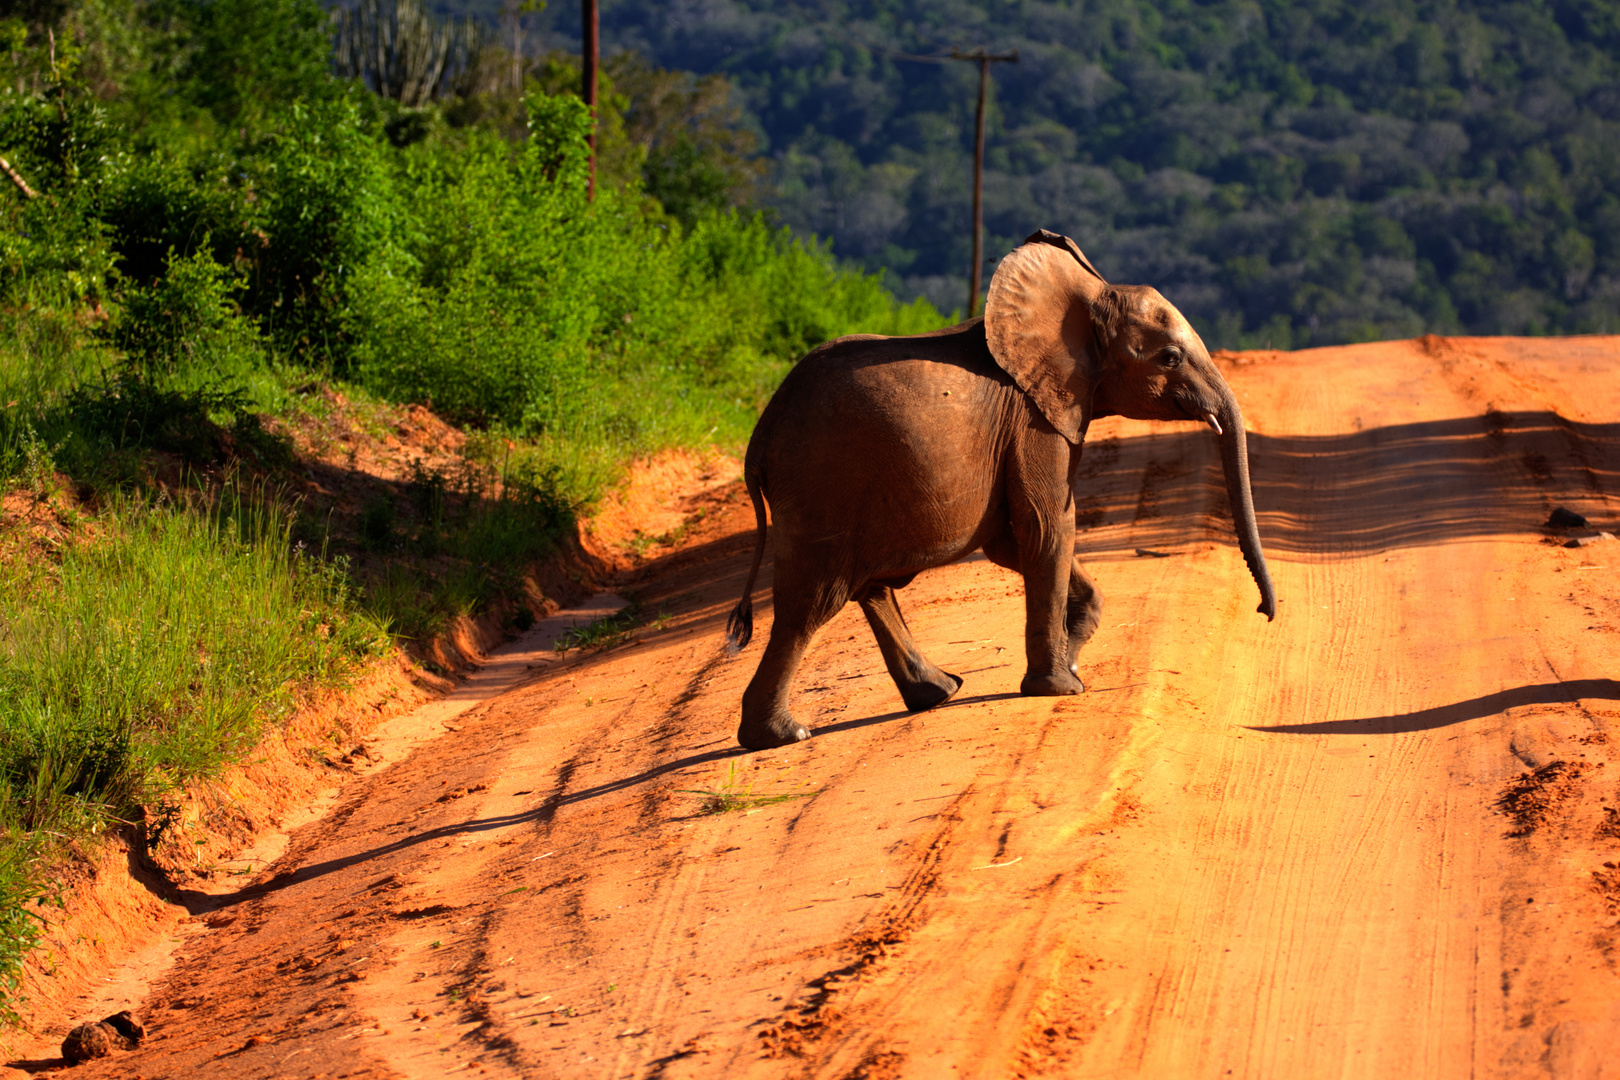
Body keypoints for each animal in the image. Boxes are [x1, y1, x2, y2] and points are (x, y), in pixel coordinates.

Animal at [725, 228, 1276, 751]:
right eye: (1170, 357)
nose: (1264, 613)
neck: (1088, 298)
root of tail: (759, 437)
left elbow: (1013, 541)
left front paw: (1071, 660)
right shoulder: (1034, 420)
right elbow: (1048, 526)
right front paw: (1060, 687)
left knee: (868, 587)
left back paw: (939, 692)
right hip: (822, 484)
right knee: (813, 601)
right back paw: (782, 736)